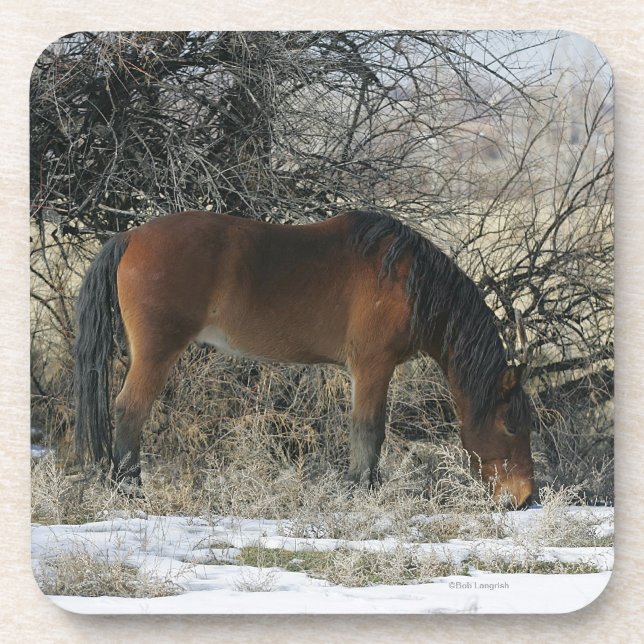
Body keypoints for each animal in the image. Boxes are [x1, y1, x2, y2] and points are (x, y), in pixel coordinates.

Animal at [74, 209, 534, 507]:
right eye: (512, 425)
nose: (525, 498)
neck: (408, 280)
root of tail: (131, 237)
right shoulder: (373, 365)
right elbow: (369, 432)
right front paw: (362, 493)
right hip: (157, 353)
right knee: (130, 410)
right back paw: (130, 491)